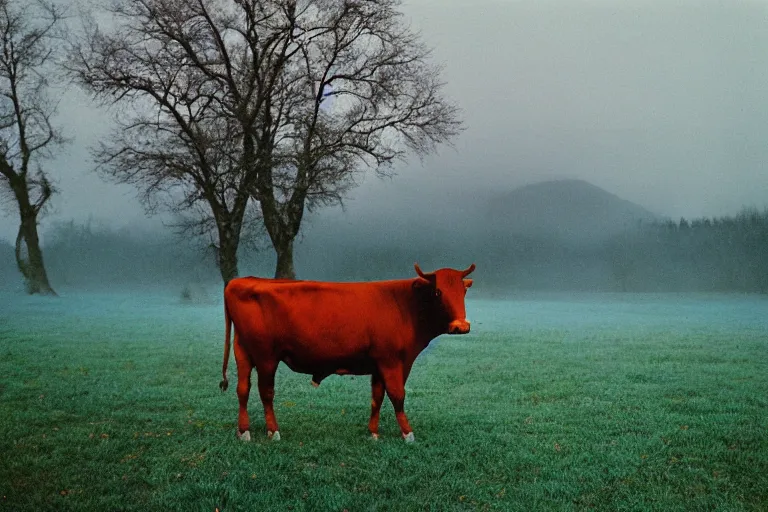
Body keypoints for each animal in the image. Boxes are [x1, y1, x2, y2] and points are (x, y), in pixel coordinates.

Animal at [220, 264, 474, 440]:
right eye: (438, 292)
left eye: (463, 291)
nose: (461, 326)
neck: (404, 305)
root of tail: (239, 281)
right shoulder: (392, 361)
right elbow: (397, 396)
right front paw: (407, 433)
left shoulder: (379, 364)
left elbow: (377, 397)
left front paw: (373, 433)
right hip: (266, 356)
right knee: (266, 392)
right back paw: (273, 432)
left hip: (243, 352)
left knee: (243, 389)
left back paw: (244, 431)